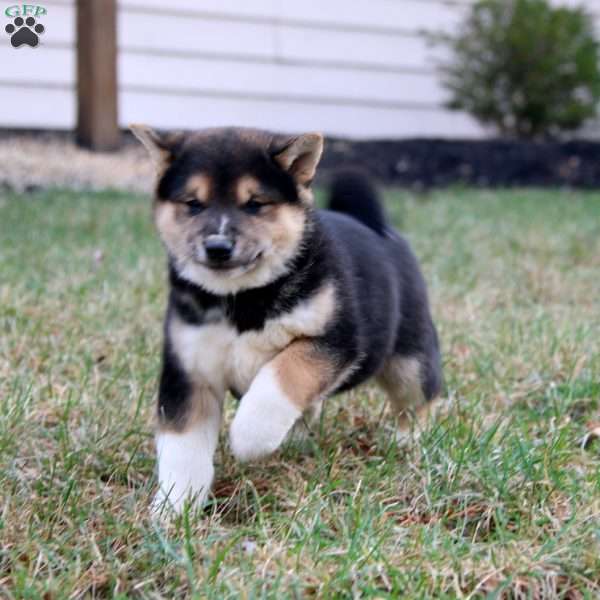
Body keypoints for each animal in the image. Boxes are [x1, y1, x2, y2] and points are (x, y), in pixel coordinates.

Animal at [132, 124, 440, 512]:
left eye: (254, 204)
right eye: (193, 204)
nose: (218, 247)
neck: (243, 298)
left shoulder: (335, 339)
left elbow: (283, 374)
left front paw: (249, 436)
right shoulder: (188, 369)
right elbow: (183, 447)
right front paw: (174, 507)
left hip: (407, 361)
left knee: (421, 399)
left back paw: (410, 441)